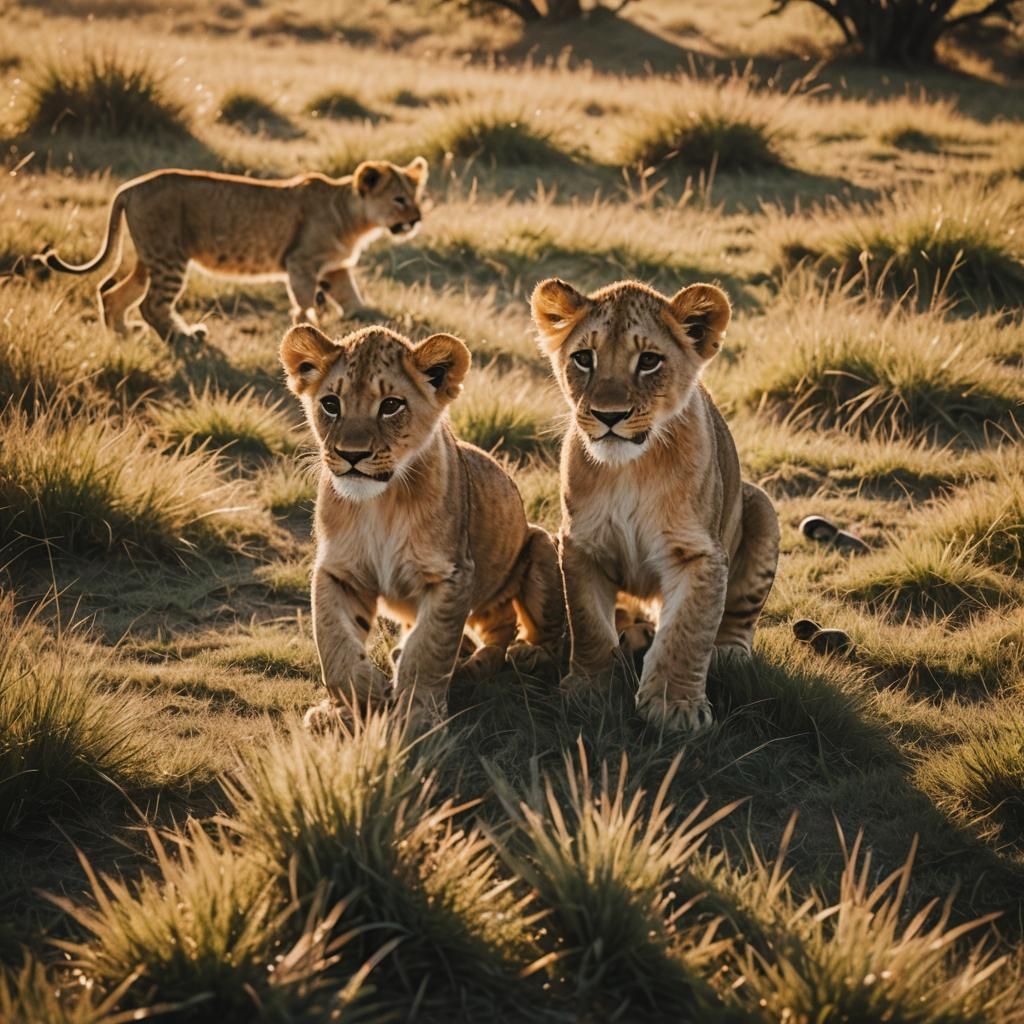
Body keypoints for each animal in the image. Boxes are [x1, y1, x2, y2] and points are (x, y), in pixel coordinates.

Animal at [36, 158, 429, 344]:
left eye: (416, 197)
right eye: (399, 199)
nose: (418, 219)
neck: (354, 219)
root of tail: (129, 187)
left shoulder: (335, 268)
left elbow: (351, 297)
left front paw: (369, 318)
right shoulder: (300, 262)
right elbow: (304, 301)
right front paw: (308, 327)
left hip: (148, 257)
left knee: (114, 294)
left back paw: (123, 334)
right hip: (169, 256)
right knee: (151, 304)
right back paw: (184, 338)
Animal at [280, 321, 565, 724]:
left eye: (391, 406)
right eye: (331, 404)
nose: (352, 455)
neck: (380, 504)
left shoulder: (452, 574)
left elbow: (429, 651)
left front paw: (417, 717)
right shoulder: (338, 571)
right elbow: (334, 640)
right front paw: (351, 702)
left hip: (540, 544)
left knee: (519, 634)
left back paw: (518, 657)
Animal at [531, 277, 780, 737]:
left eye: (649, 361)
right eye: (583, 358)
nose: (608, 415)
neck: (630, 470)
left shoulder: (698, 553)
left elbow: (687, 632)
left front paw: (674, 708)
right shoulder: (581, 546)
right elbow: (589, 624)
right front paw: (589, 689)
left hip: (761, 507)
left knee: (736, 619)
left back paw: (729, 655)